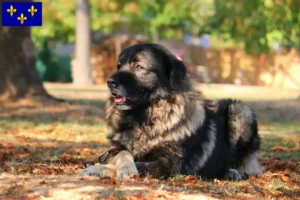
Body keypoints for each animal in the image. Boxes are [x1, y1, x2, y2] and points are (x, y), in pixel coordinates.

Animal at [79, 43, 262, 180]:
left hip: (240, 111)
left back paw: (231, 172)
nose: (109, 82)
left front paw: (100, 169)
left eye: (139, 66)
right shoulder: (114, 149)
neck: (145, 117)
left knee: (240, 163)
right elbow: (123, 153)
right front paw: (112, 166)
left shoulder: (168, 164)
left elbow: (140, 165)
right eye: (119, 66)